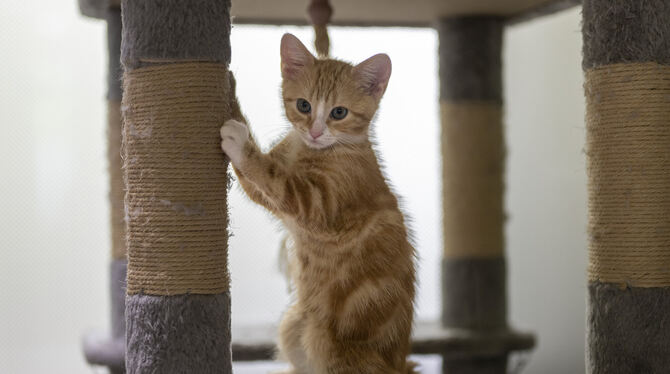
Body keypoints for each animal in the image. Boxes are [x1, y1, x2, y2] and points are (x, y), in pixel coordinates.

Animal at [223, 33, 418, 372]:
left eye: (339, 112)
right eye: (304, 105)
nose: (314, 132)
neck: (311, 150)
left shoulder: (315, 204)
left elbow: (269, 175)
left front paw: (239, 140)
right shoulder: (273, 195)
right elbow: (258, 181)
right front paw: (231, 95)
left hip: (329, 345)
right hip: (292, 324)